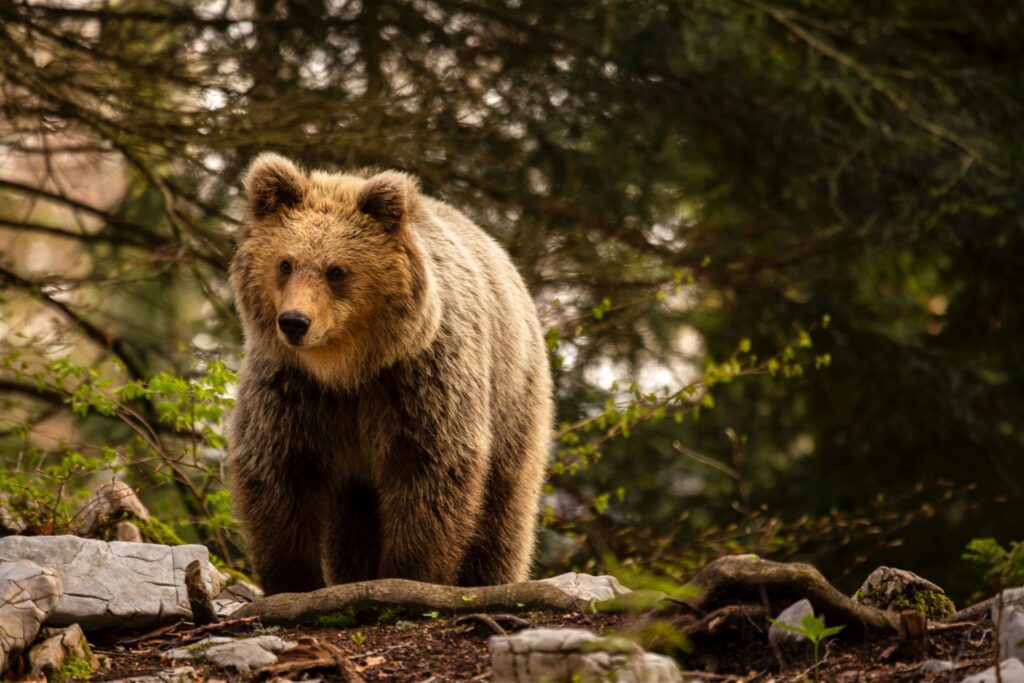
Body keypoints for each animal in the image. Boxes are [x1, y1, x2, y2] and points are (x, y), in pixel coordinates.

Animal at [229, 153, 557, 593]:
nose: (295, 322)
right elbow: (280, 471)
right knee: (354, 521)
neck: (346, 369)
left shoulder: (419, 380)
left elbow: (429, 470)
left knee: (503, 510)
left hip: (513, 399)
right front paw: (294, 580)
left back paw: (490, 578)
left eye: (336, 271)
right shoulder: (292, 389)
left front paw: (409, 573)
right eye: (285, 263)